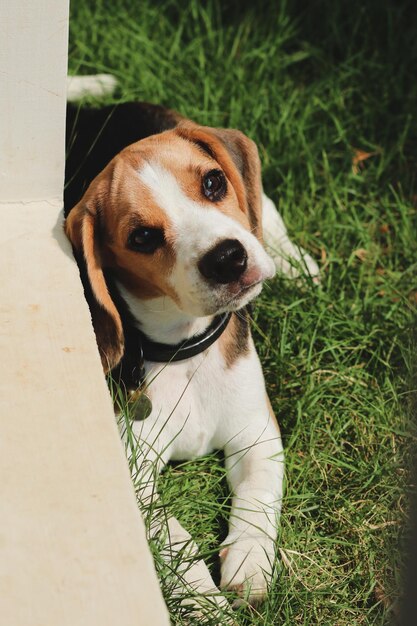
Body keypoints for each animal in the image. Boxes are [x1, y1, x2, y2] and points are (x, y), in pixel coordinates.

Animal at [65, 74, 318, 616]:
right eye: (142, 236)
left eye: (213, 184)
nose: (228, 258)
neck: (188, 350)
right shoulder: (135, 479)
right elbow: (173, 538)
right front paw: (206, 602)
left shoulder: (257, 434)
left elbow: (258, 503)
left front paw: (249, 566)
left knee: (266, 206)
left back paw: (298, 263)